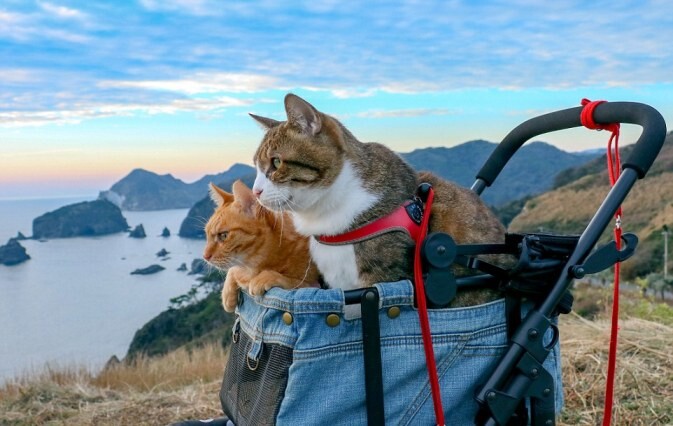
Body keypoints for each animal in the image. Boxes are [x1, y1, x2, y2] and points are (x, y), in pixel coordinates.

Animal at [202, 178, 318, 312]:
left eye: (223, 235)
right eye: (207, 235)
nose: (205, 256)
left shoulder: (313, 284)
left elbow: (295, 282)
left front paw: (265, 277)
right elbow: (233, 270)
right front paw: (227, 294)